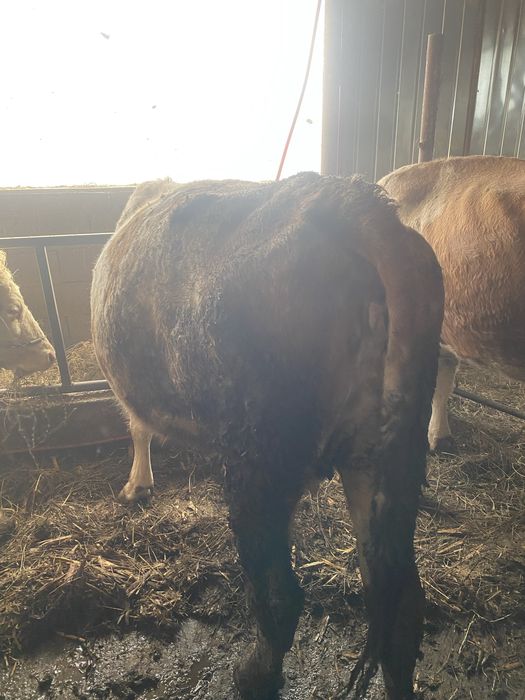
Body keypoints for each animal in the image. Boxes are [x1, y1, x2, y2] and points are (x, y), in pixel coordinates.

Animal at [91, 172, 443, 700]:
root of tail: (349, 205)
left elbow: (137, 426)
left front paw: (137, 485)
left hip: (257, 464)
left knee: (279, 596)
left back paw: (254, 674)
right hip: (384, 456)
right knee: (401, 608)